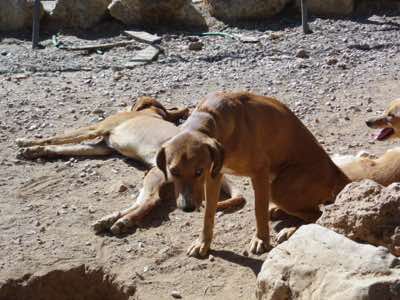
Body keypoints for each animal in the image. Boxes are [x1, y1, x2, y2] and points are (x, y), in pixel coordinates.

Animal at [15, 97, 245, 236]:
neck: (152, 113)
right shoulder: (103, 148)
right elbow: (63, 147)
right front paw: (35, 151)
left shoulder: (96, 127)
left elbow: (59, 137)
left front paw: (27, 142)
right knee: (143, 202)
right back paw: (110, 219)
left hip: (157, 174)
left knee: (151, 201)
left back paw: (122, 222)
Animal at [155, 90, 348, 256]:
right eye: (173, 171)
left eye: (198, 171)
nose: (186, 207)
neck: (210, 117)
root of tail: (338, 173)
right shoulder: (214, 176)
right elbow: (208, 214)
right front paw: (203, 243)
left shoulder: (259, 172)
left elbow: (259, 210)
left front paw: (261, 240)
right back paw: (277, 211)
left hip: (280, 188)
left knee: (317, 214)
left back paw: (290, 230)